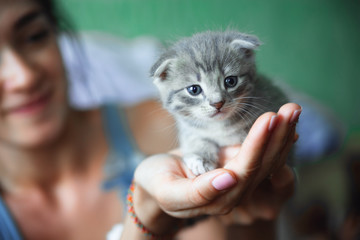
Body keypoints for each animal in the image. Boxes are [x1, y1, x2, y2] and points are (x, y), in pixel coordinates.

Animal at [150, 31, 288, 175]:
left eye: (230, 81)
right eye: (194, 90)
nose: (217, 103)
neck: (219, 126)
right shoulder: (188, 127)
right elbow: (194, 139)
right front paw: (201, 157)